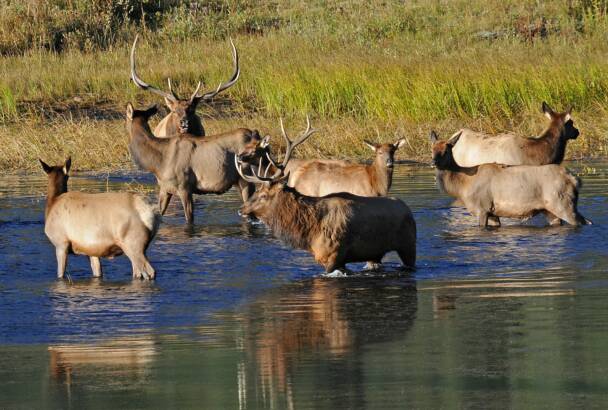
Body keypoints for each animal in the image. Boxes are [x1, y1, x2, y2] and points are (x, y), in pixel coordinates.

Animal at [124, 102, 264, 224]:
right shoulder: (165, 188)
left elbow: (189, 219)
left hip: (246, 179)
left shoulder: (184, 187)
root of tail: (256, 135)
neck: (156, 163)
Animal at [235, 118, 416, 274]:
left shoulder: (333, 256)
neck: (309, 230)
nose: (241, 209)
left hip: (408, 245)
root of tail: (407, 209)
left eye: (263, 195)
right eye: (256, 191)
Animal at [430, 131, 592, 227]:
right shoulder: (493, 212)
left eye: (446, 151)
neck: (462, 185)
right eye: (432, 149)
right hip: (549, 210)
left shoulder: (482, 207)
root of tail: (574, 180)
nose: (433, 162)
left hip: (562, 203)